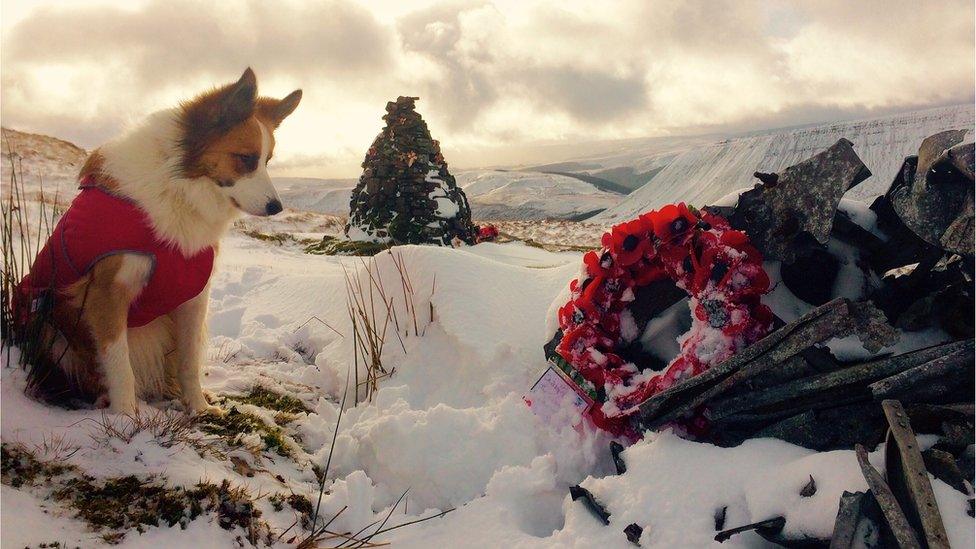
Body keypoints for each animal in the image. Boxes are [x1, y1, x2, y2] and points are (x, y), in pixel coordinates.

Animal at [16, 67, 302, 416]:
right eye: (246, 159)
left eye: (267, 160)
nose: (277, 207)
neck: (179, 187)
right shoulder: (106, 293)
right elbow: (119, 364)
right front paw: (126, 416)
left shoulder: (193, 296)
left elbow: (189, 362)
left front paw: (199, 408)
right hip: (46, 320)